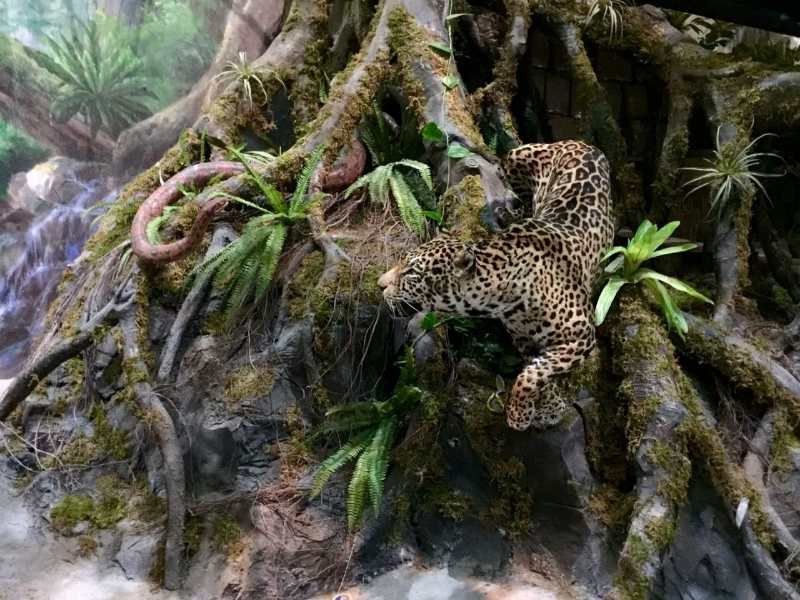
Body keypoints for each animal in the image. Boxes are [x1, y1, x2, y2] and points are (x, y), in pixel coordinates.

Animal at [378, 140, 614, 431]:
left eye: (411, 273)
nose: (379, 284)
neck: (504, 297)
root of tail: (581, 142)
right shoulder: (523, 337)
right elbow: (535, 366)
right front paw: (548, 407)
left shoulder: (581, 335)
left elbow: (534, 373)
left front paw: (519, 414)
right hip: (516, 158)